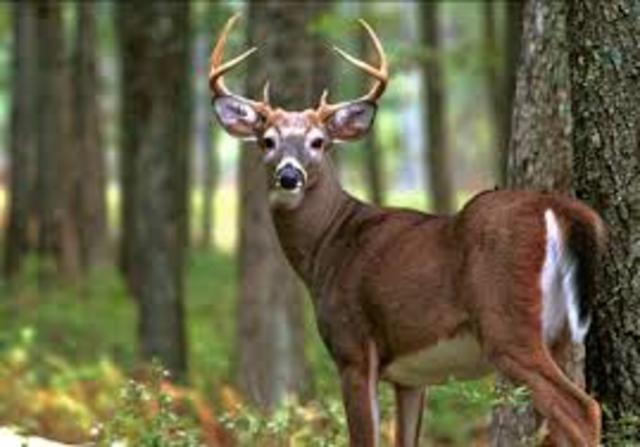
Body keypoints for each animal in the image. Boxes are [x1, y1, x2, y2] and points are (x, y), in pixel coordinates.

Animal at [209, 14, 605, 447]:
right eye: (267, 141)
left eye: (318, 142)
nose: (289, 176)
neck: (327, 248)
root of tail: (560, 208)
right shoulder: (411, 377)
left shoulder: (353, 346)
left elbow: (364, 438)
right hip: (560, 334)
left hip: (508, 323)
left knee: (582, 409)